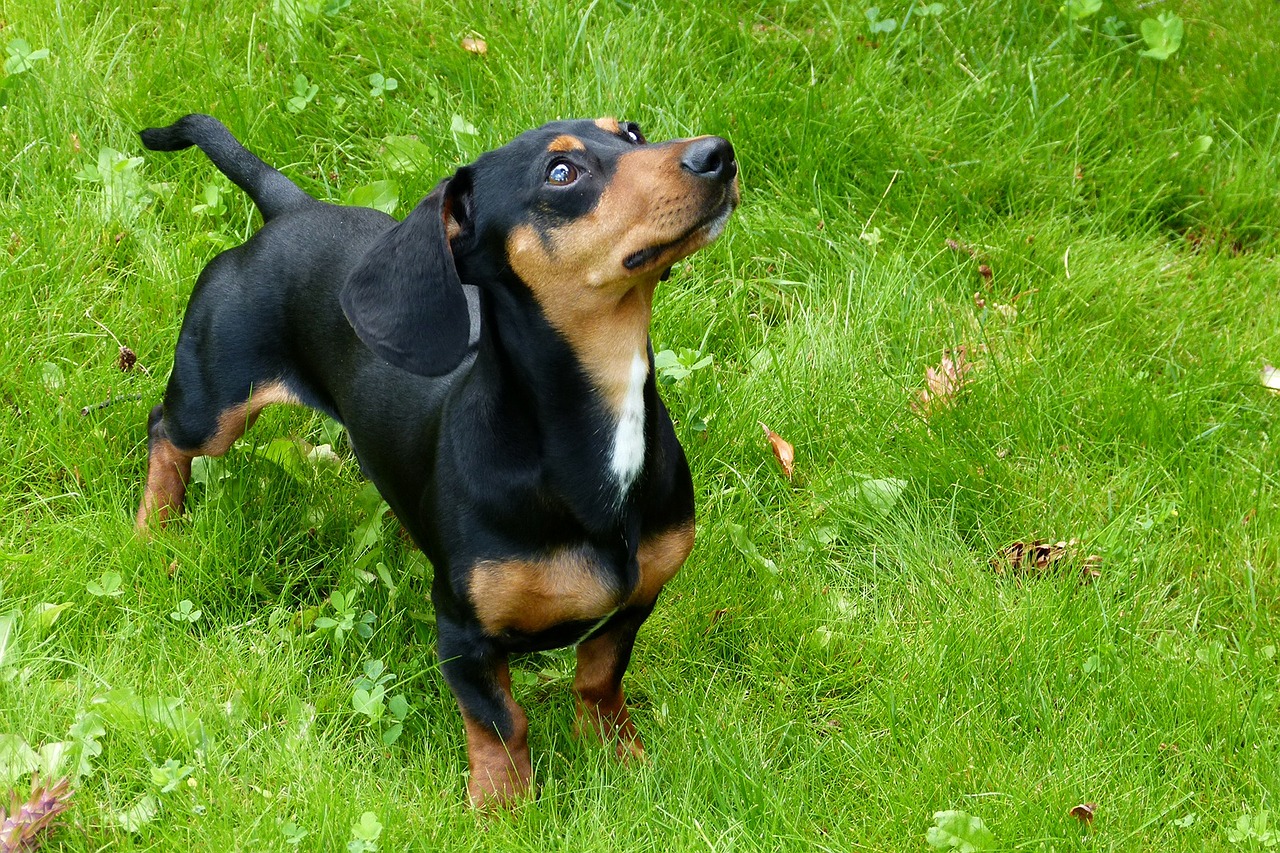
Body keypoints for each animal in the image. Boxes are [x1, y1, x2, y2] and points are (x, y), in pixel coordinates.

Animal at [133, 114, 737, 804]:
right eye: (561, 173)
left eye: (632, 131)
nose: (719, 155)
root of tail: (292, 208)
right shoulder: (462, 634)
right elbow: (502, 723)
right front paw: (502, 807)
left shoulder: (632, 606)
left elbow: (598, 683)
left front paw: (621, 755)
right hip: (213, 402)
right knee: (164, 432)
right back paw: (154, 525)